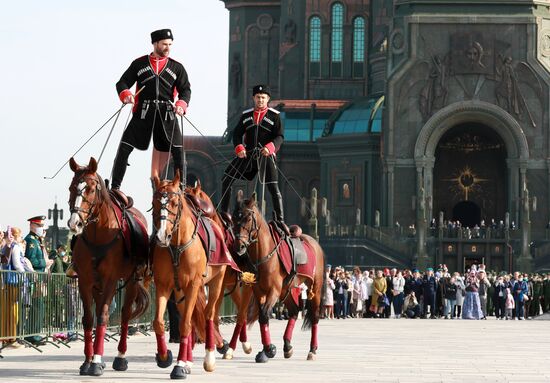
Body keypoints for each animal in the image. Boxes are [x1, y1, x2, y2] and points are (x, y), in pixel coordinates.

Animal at [69, 158, 151, 376]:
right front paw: (88, 361)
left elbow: (104, 316)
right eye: (71, 188)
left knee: (125, 314)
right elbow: (89, 318)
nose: (74, 223)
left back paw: (120, 357)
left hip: (132, 281)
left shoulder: (110, 280)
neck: (99, 233)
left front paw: (96, 361)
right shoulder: (86, 281)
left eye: (90, 189)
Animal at [149, 172, 231, 380]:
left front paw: (179, 366)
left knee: (209, 314)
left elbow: (186, 323)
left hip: (216, 282)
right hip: (180, 292)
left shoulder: (194, 285)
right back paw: (187, 360)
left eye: (174, 203)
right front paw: (165, 357)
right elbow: (158, 322)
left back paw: (208, 356)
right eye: (154, 202)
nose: (161, 236)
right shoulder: (164, 285)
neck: (177, 246)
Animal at [185, 182, 254, 360]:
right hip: (232, 286)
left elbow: (213, 312)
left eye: (193, 201)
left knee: (242, 311)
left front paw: (218, 343)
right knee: (240, 310)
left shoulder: (219, 283)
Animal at [234, 195, 328, 364]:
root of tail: (315, 243)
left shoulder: (274, 291)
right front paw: (266, 350)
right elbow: (262, 317)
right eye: (233, 218)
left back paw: (312, 350)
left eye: (248, 218)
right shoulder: (259, 291)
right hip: (288, 289)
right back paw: (287, 345)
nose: (239, 246)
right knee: (294, 311)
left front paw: (269, 349)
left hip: (315, 287)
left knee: (315, 316)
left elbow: (264, 315)